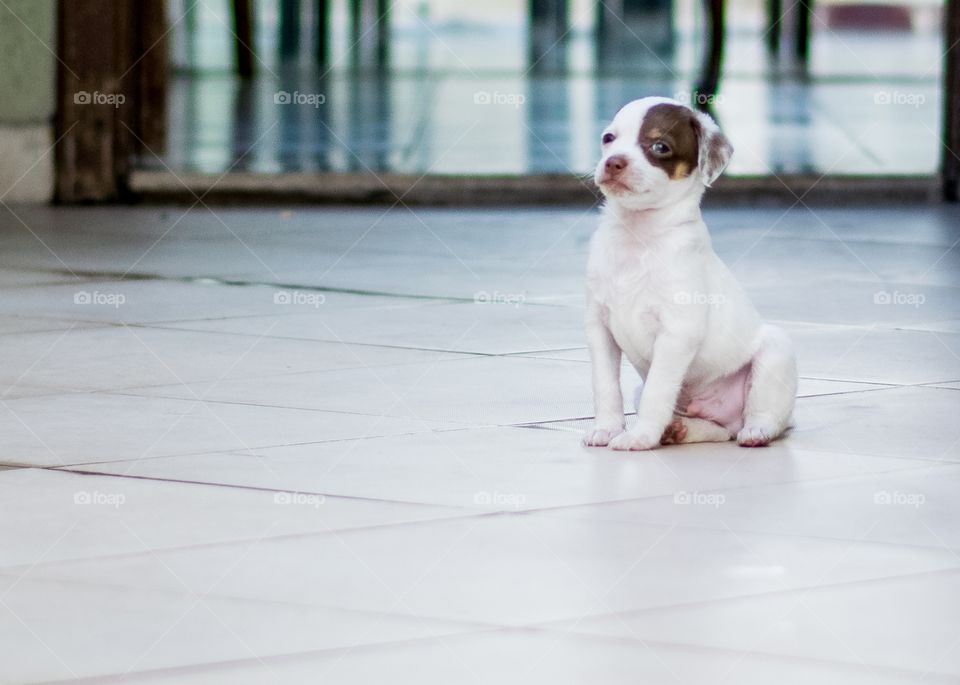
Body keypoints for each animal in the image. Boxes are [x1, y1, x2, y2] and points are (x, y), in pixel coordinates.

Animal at [580, 97, 800, 448]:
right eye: (608, 138)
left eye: (660, 146)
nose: (613, 162)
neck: (637, 236)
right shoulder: (599, 328)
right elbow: (605, 386)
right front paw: (607, 428)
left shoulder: (677, 332)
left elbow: (658, 392)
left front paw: (640, 436)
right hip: (667, 400)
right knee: (719, 430)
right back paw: (680, 429)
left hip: (775, 353)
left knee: (763, 416)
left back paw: (756, 432)